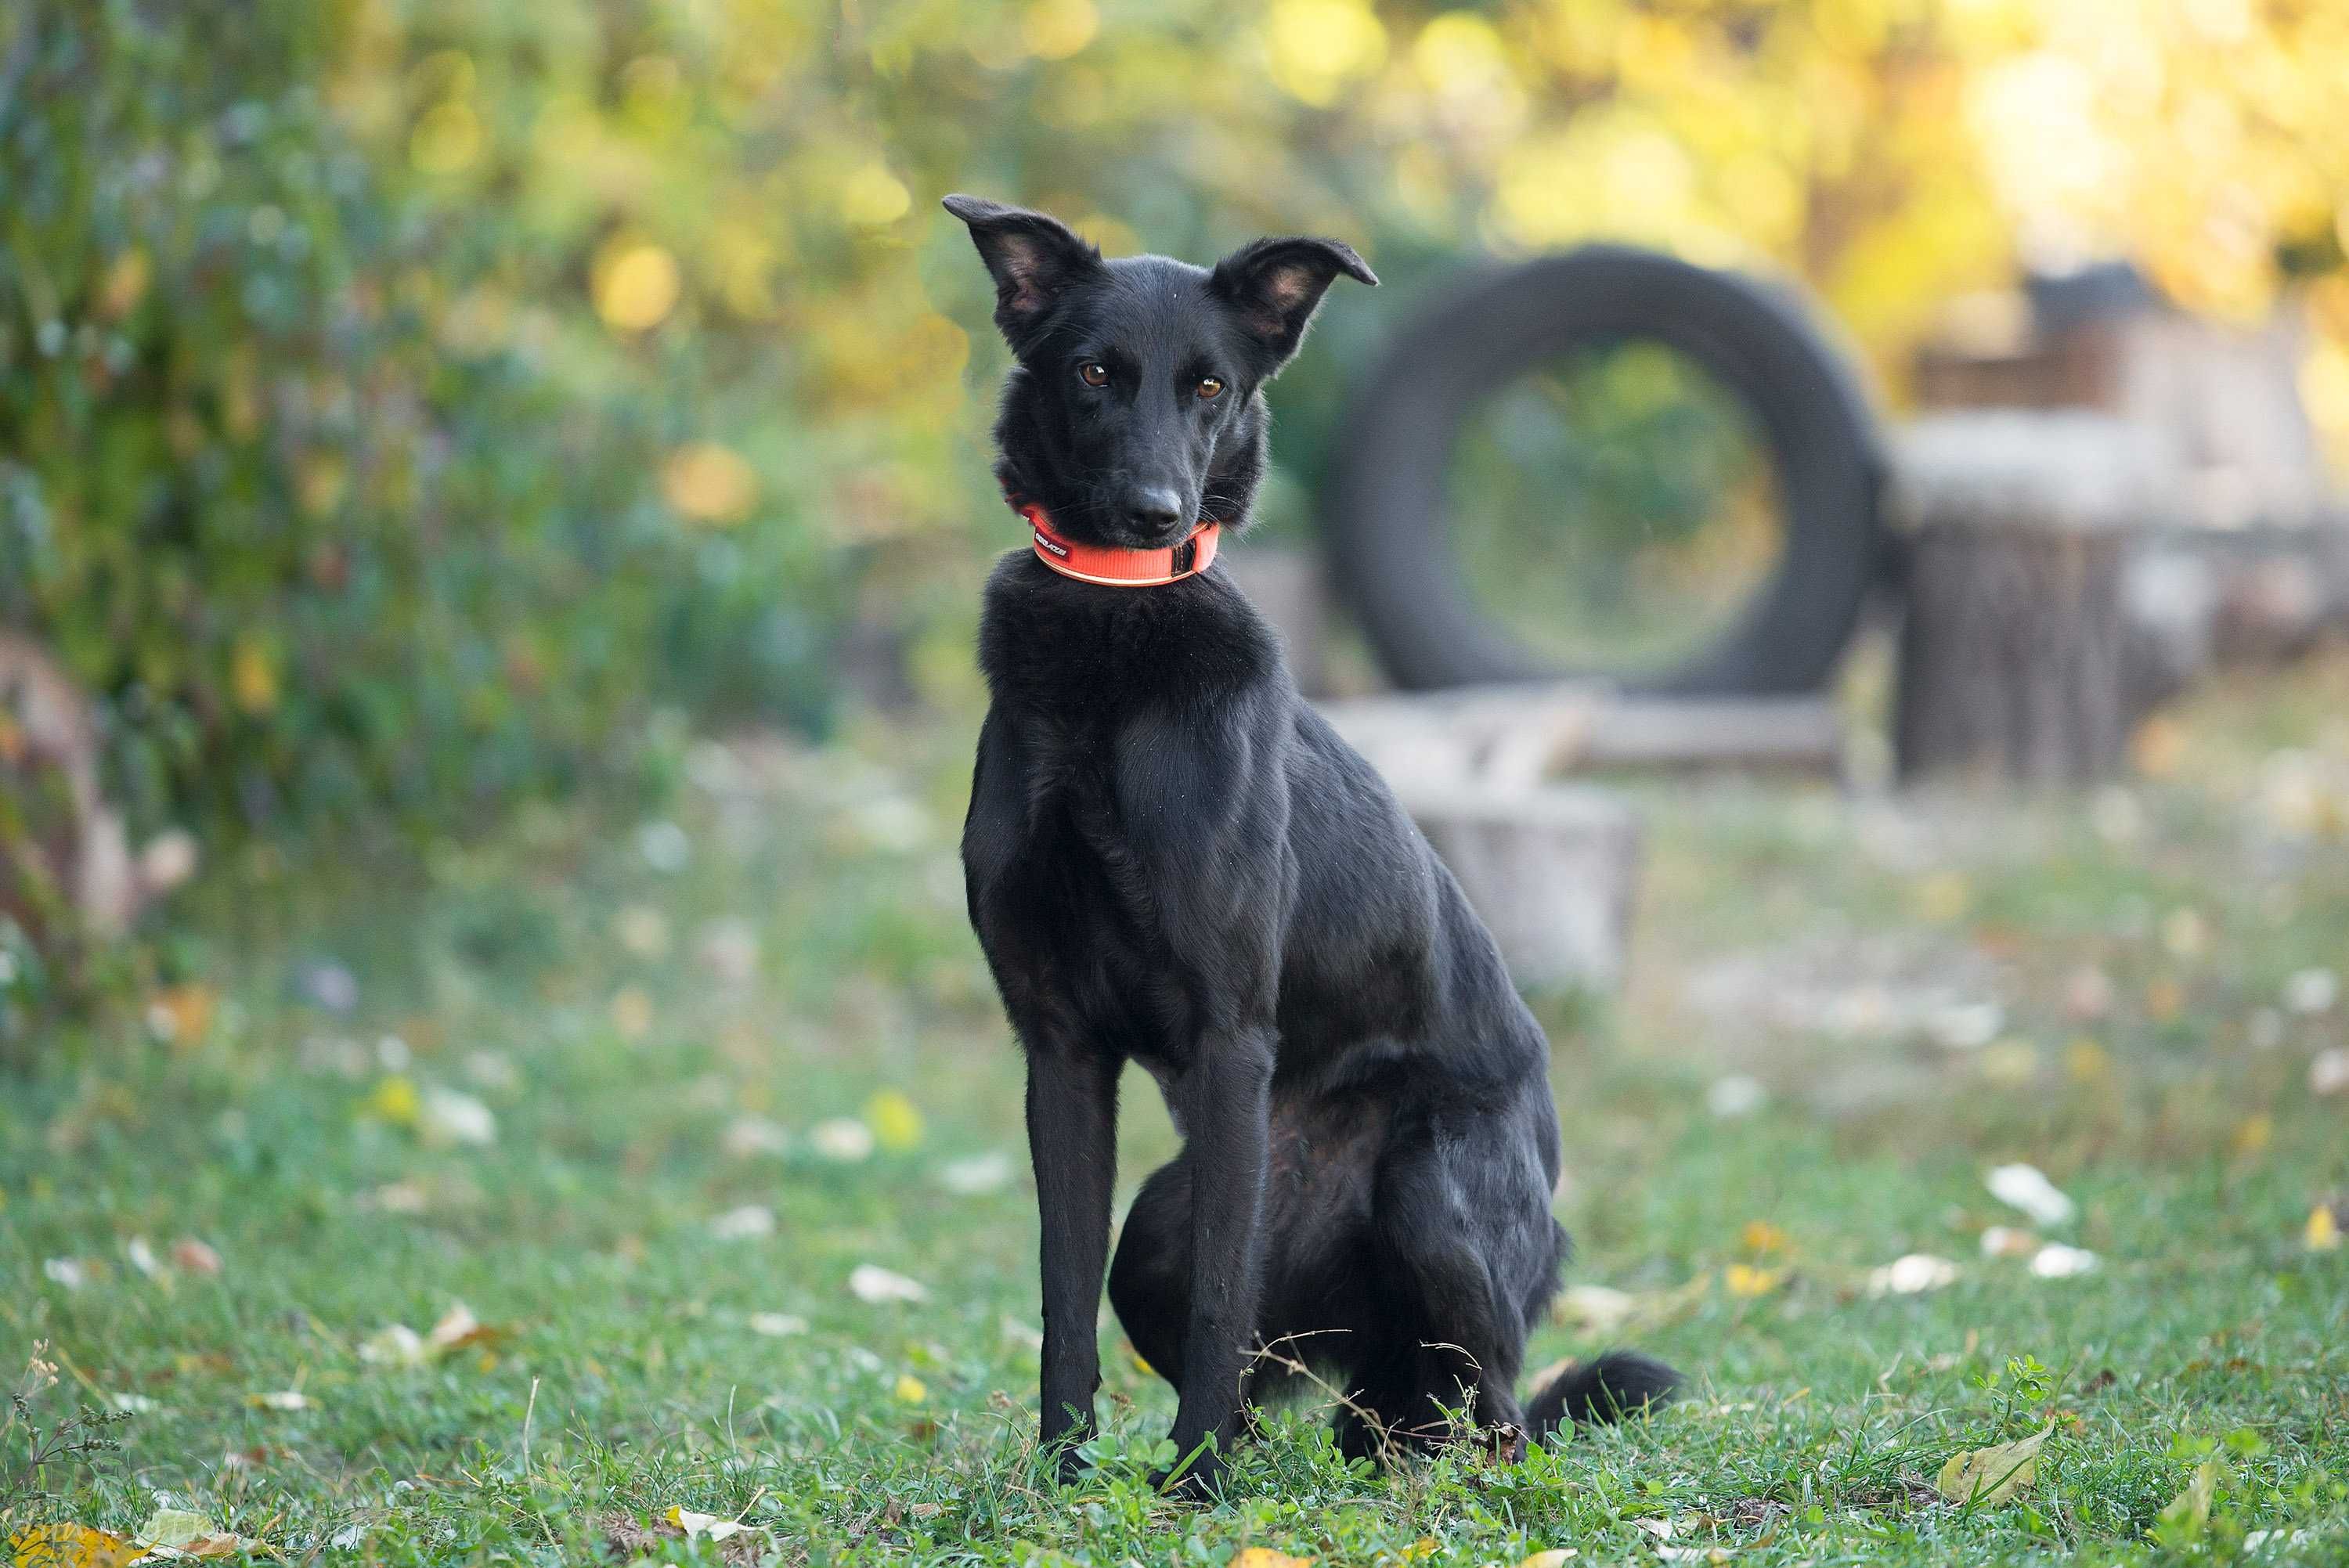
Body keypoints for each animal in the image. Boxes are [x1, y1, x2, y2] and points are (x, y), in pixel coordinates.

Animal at [944, 196, 1682, 1493]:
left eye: (1209, 385)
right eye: (1094, 373)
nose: (1154, 515)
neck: (1111, 648)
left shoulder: (1230, 1034)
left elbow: (1218, 1303)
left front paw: (1194, 1486)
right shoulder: (1060, 1046)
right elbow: (1062, 1289)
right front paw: (1062, 1476)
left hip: (1432, 1189)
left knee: (1495, 1399)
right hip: (1164, 1226)